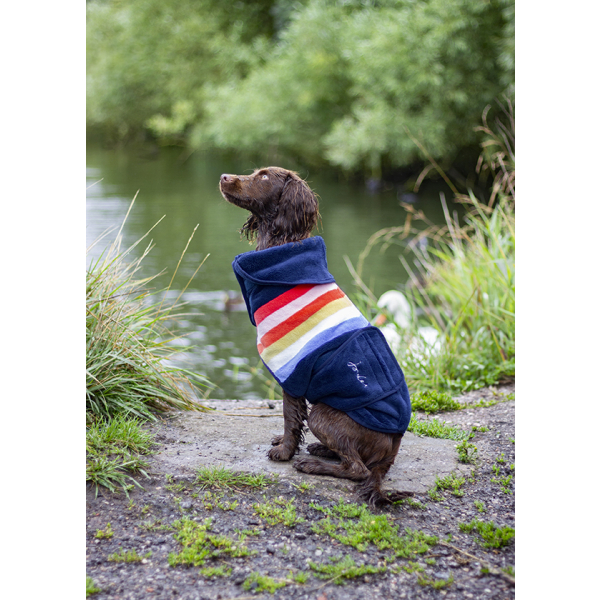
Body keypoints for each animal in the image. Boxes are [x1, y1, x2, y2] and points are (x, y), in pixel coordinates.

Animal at [220, 166, 412, 504]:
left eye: (265, 177)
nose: (223, 177)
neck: (280, 246)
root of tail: (394, 444)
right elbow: (292, 419)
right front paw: (284, 444)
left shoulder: (291, 367)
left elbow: (289, 415)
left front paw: (284, 453)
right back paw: (320, 449)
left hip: (323, 414)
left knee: (358, 469)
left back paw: (311, 464)